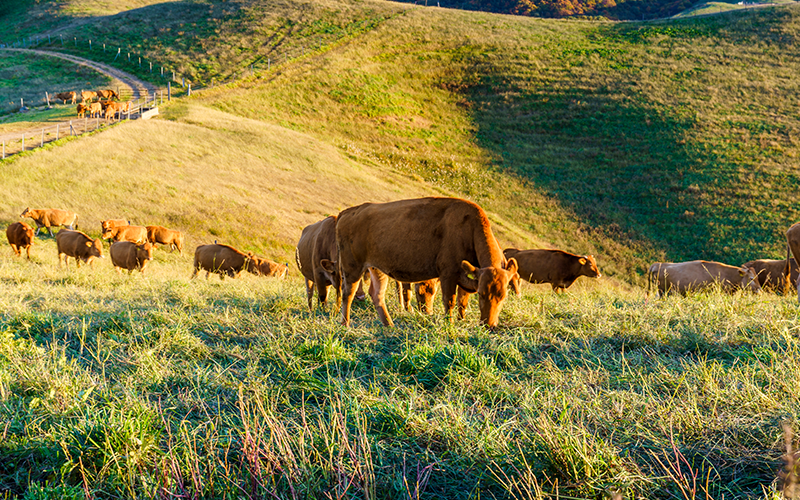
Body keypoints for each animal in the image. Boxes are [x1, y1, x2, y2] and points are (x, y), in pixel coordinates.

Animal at [332, 197, 520, 330]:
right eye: (481, 294)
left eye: (504, 296)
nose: (490, 325)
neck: (468, 228)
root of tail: (349, 212)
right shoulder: (448, 274)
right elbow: (449, 302)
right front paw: (449, 325)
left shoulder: (466, 278)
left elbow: (462, 302)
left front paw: (461, 321)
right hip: (352, 267)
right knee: (348, 293)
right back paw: (345, 324)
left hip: (376, 268)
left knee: (377, 294)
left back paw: (389, 326)